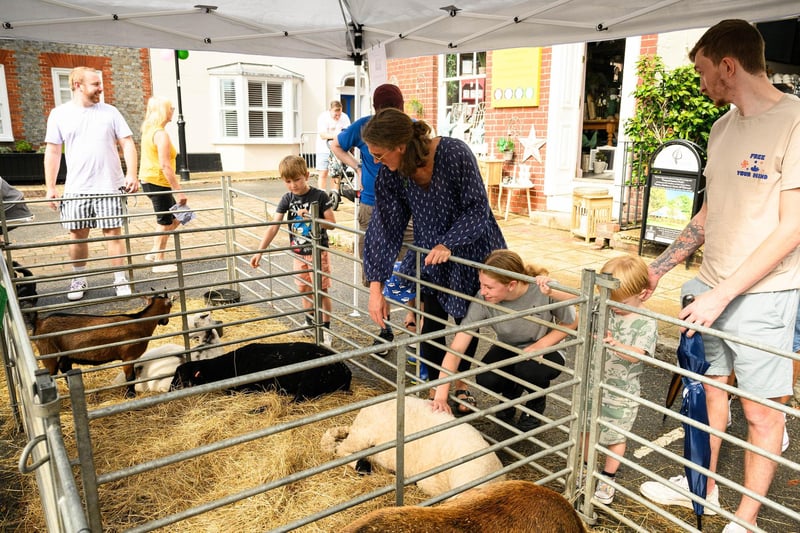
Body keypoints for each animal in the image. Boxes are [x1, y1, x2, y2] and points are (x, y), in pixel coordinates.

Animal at [34, 294, 173, 392]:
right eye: (170, 307)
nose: (165, 321)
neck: (140, 322)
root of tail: (39, 323)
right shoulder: (129, 356)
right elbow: (130, 378)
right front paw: (130, 395)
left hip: (64, 356)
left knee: (66, 370)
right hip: (48, 354)